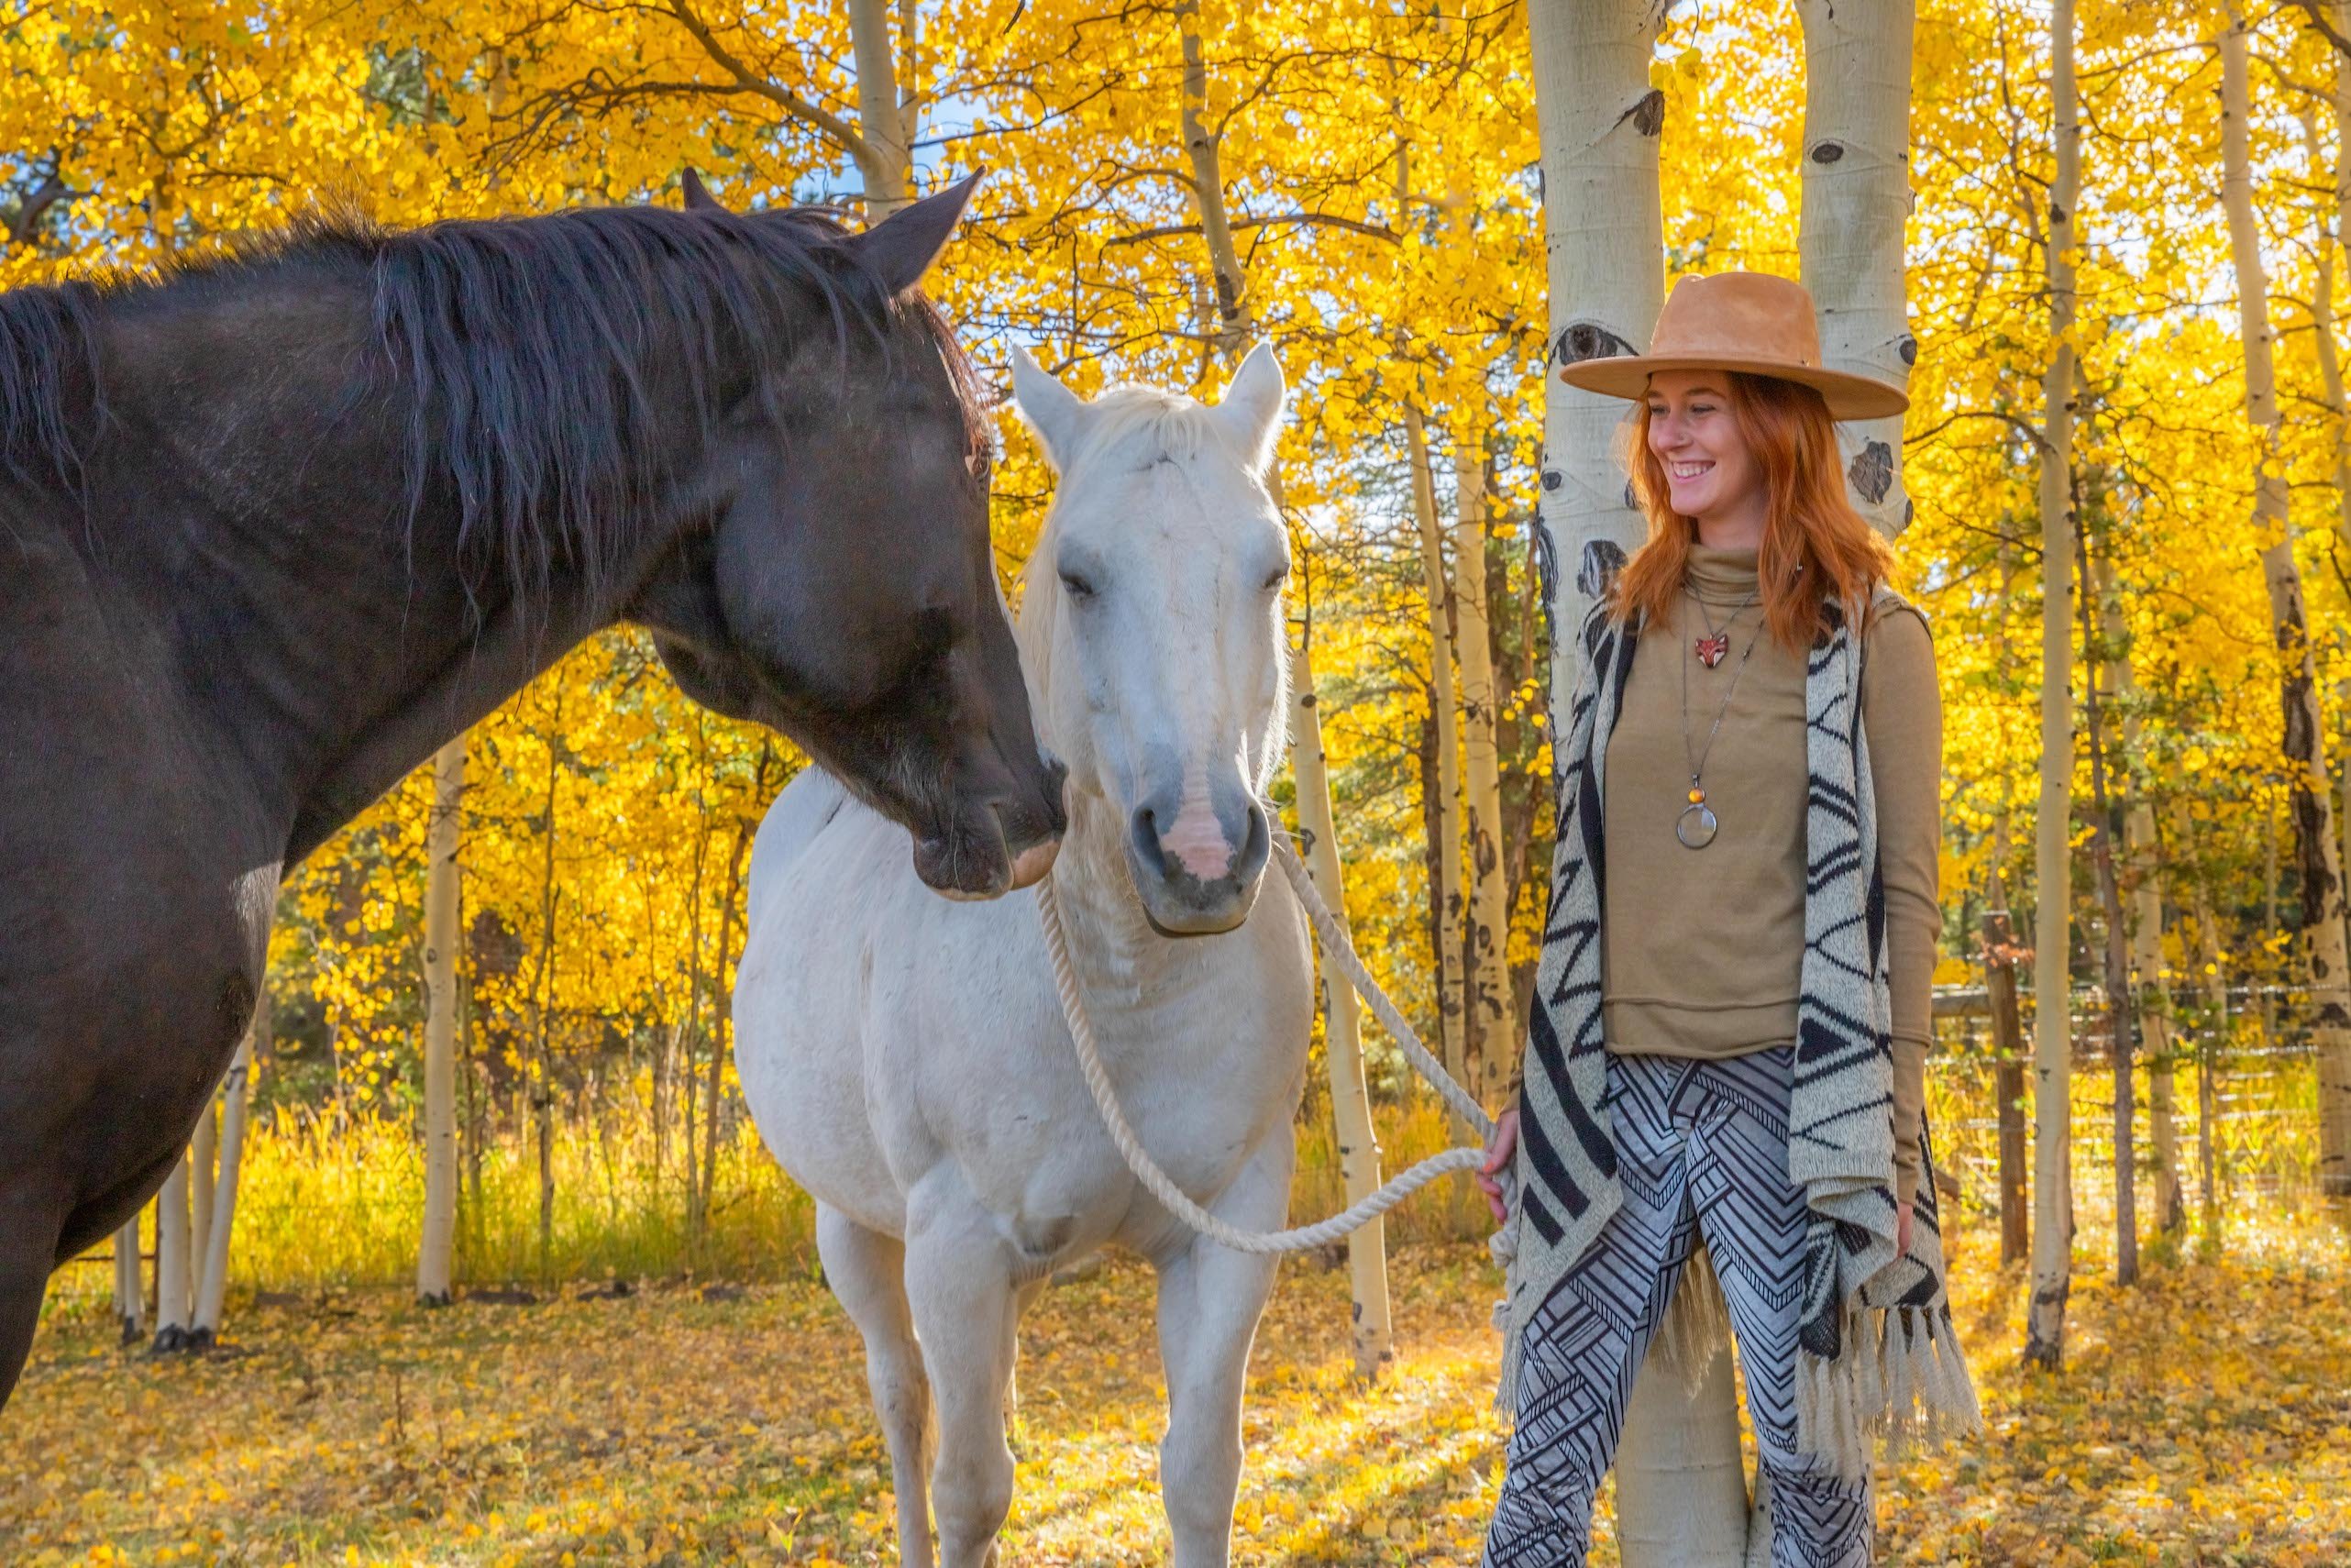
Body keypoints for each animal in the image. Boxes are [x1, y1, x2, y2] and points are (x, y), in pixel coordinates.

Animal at [733, 345, 1316, 1568]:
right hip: (852, 1230)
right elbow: (969, 1492)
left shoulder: (1231, 1228)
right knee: (902, 1402)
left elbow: (1199, 1472)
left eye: (1271, 569)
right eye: (1079, 576)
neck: (1121, 990)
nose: (1199, 855)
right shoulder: (953, 1251)